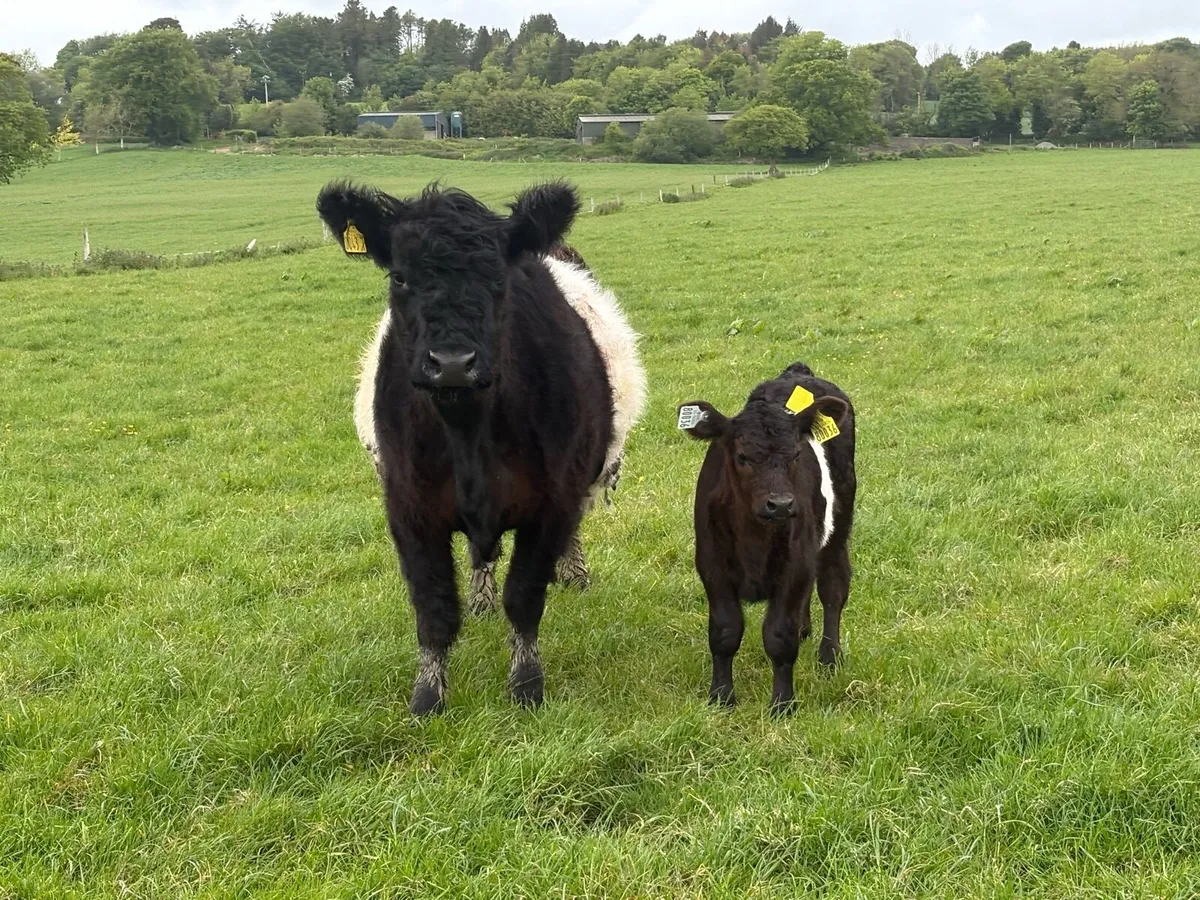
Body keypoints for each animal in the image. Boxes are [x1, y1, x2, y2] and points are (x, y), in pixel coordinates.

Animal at [319, 180, 646, 715]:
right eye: (401, 277)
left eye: (499, 280)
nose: (452, 362)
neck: (466, 429)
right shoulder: (408, 506)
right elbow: (433, 607)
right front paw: (428, 696)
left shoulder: (551, 500)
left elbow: (526, 596)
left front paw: (527, 685)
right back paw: (481, 600)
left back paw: (573, 574)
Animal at [677, 361, 856, 713]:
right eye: (742, 457)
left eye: (797, 453)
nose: (782, 504)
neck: (754, 539)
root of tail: (797, 372)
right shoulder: (711, 565)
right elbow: (725, 632)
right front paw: (721, 697)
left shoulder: (796, 563)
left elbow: (779, 636)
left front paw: (783, 704)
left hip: (839, 526)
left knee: (833, 587)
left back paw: (829, 656)